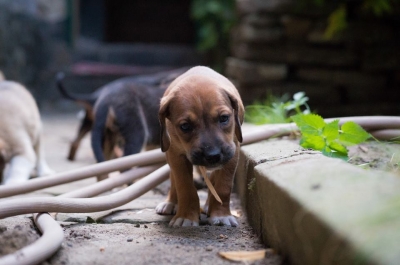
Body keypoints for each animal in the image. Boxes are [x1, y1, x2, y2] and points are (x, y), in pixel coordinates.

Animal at [155, 65, 244, 225]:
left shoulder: (232, 152)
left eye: (224, 118)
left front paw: (221, 215)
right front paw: (186, 216)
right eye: (185, 126)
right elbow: (184, 187)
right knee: (173, 179)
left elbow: (223, 186)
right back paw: (170, 203)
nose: (213, 156)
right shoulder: (176, 156)